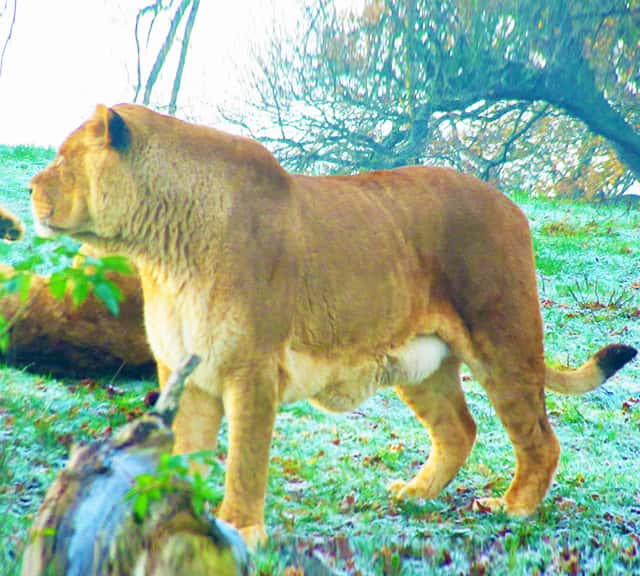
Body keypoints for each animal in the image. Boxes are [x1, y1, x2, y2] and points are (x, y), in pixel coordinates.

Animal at [28, 104, 636, 544]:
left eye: (62, 156)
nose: (31, 187)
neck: (161, 253)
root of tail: (512, 205)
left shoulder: (252, 370)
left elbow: (244, 459)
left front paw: (241, 529)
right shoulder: (187, 370)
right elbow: (186, 452)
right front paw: (178, 515)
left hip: (504, 342)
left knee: (540, 438)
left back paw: (513, 509)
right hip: (423, 365)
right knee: (459, 430)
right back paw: (416, 493)